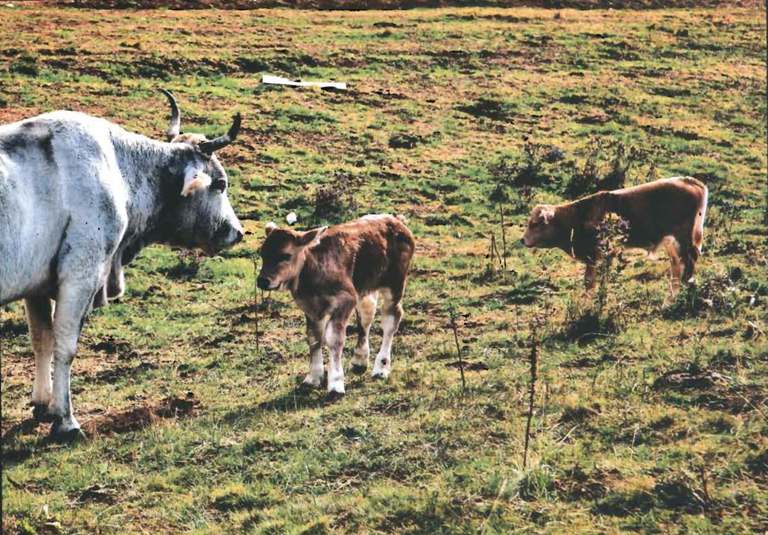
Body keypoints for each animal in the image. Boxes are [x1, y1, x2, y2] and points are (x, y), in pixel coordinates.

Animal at [0, 90, 243, 442]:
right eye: (220, 184)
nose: (237, 231)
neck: (117, 168)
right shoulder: (81, 273)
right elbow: (65, 346)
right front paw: (66, 420)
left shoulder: (37, 284)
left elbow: (41, 340)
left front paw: (43, 403)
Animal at [256, 214, 414, 398]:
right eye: (262, 253)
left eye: (285, 255)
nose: (263, 281)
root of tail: (397, 221)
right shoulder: (310, 308)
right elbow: (314, 338)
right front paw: (312, 378)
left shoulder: (345, 300)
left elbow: (333, 339)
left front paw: (335, 384)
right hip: (366, 288)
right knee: (366, 315)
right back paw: (359, 361)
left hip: (395, 284)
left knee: (391, 320)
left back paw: (381, 369)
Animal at [520, 178, 708, 292]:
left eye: (535, 224)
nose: (522, 240)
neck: (577, 216)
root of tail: (692, 182)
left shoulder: (595, 255)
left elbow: (589, 282)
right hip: (673, 244)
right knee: (677, 267)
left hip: (684, 239)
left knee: (688, 264)